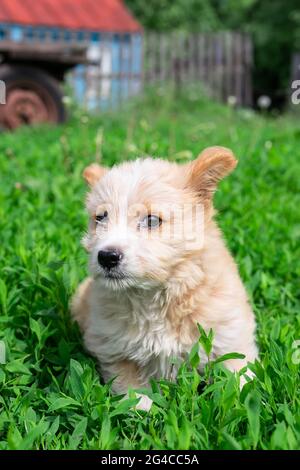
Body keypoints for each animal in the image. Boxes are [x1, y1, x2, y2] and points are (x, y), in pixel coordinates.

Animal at [72, 146, 258, 408]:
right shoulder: (114, 351)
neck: (155, 298)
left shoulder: (232, 339)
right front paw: (144, 413)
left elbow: (240, 381)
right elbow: (134, 395)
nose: (106, 257)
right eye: (100, 218)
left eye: (151, 220)